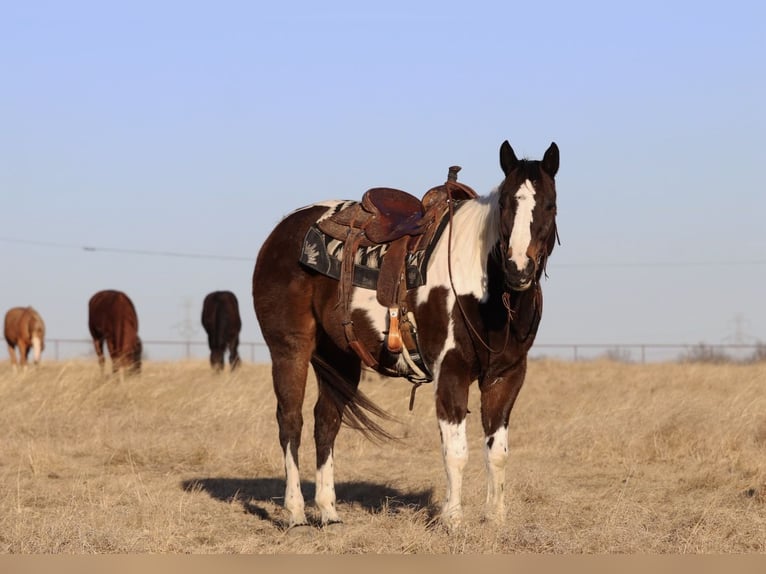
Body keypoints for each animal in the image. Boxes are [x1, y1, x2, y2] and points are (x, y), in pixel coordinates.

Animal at [252, 140, 559, 530]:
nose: (518, 269)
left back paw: (329, 512)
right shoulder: (451, 371)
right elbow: (456, 451)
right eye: (505, 203)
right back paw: (295, 513)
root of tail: (280, 232)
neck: (485, 290)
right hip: (290, 349)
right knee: (291, 421)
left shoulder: (506, 376)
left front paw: (495, 518)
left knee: (326, 422)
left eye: (549, 204)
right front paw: (453, 520)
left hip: (341, 358)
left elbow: (498, 452)